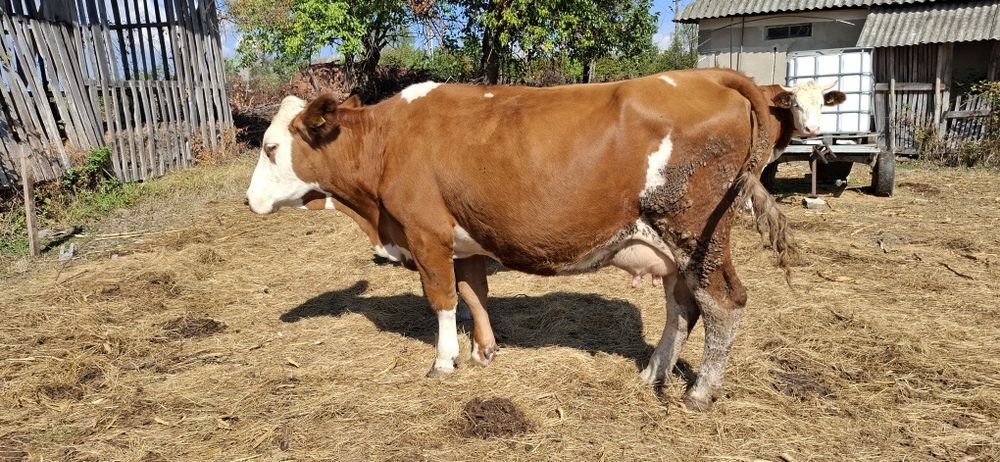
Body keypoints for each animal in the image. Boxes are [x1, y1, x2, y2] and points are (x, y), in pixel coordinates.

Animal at [245, 68, 845, 410]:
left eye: (272, 148)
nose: (247, 200)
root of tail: (711, 76)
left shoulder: (426, 233)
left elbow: (441, 300)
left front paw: (444, 361)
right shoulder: (467, 238)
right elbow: (474, 294)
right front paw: (485, 350)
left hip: (698, 231)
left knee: (723, 303)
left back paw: (700, 392)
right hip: (674, 247)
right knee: (682, 308)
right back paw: (653, 371)